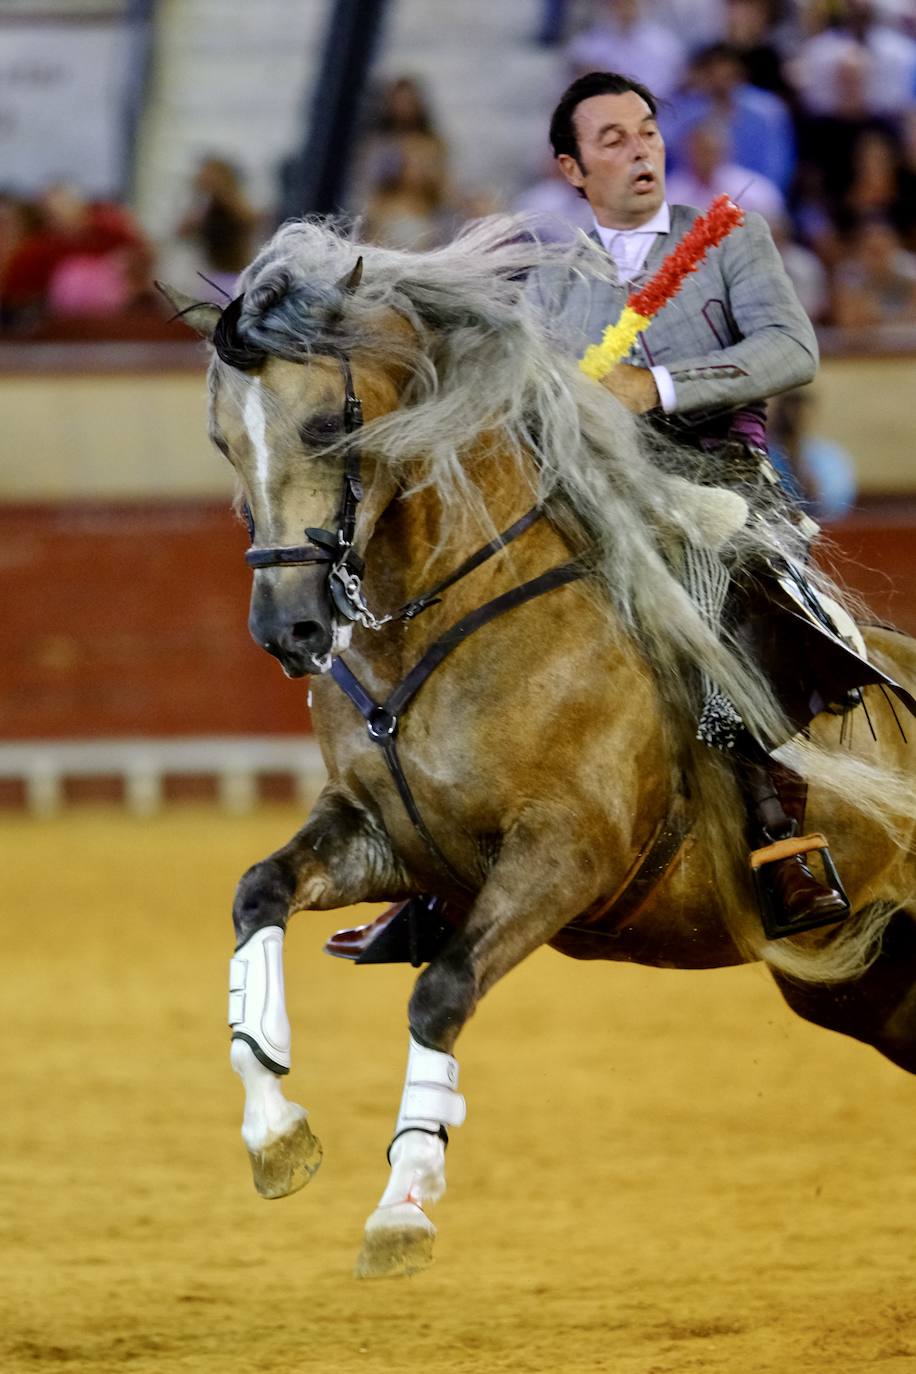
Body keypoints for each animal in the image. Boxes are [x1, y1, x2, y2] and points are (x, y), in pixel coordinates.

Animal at [161, 211, 916, 1275]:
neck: (442, 619)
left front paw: (403, 1203)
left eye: (326, 428)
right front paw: (276, 1132)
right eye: (224, 440)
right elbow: (257, 893)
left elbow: (440, 993)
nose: (288, 630)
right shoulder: (387, 837)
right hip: (867, 979)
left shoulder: (566, 856)